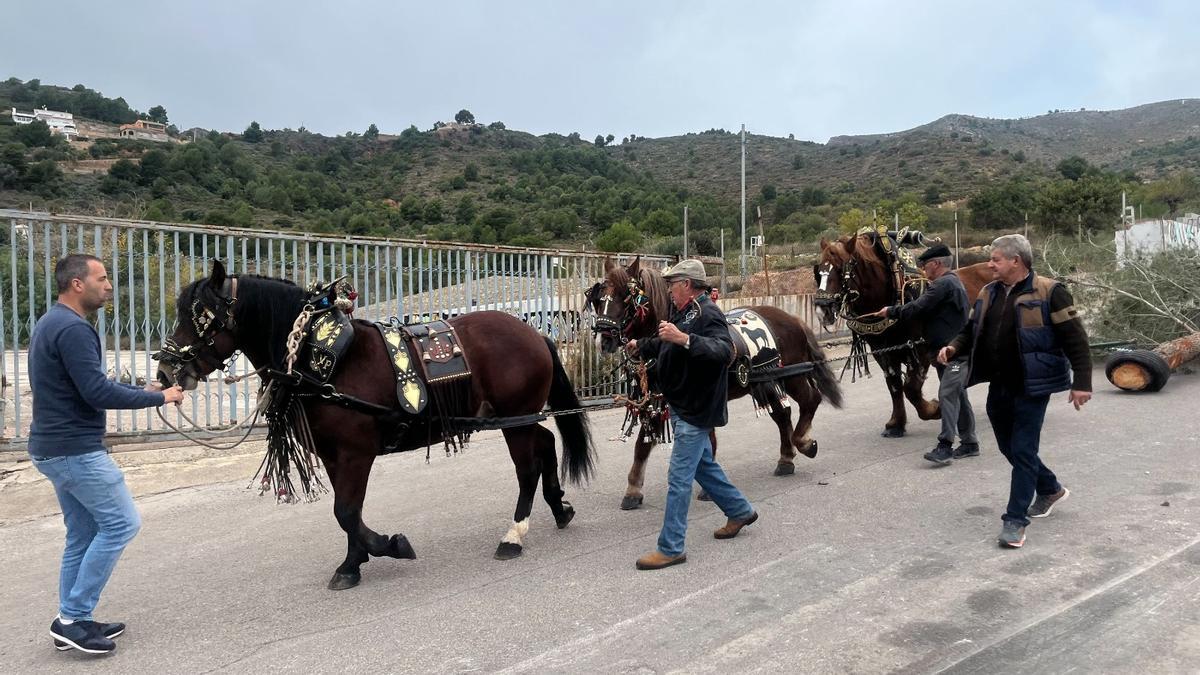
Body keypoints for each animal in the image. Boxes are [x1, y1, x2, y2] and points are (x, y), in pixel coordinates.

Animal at [154, 260, 595, 586]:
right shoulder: (333, 456)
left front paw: (389, 545)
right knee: (546, 443)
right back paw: (560, 507)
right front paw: (353, 563)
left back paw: (514, 535)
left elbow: (347, 511)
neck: (317, 358)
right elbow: (347, 512)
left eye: (201, 315)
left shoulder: (355, 453)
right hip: (516, 417)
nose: (165, 370)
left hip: (515, 420)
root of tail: (534, 334)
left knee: (527, 468)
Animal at [585, 254, 840, 506]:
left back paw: (803, 442)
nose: (603, 340)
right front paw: (633, 490)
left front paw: (709, 487)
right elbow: (643, 444)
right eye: (599, 298)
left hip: (793, 376)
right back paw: (786, 458)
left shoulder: (700, 398)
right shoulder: (656, 401)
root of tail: (793, 319)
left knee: (810, 400)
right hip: (765, 381)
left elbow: (706, 439)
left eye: (626, 297)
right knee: (782, 414)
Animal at [816, 234, 993, 437]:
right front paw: (897, 423)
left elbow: (911, 389)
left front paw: (935, 408)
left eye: (839, 269)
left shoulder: (919, 349)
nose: (821, 310)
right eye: (819, 270)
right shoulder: (883, 351)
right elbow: (894, 385)